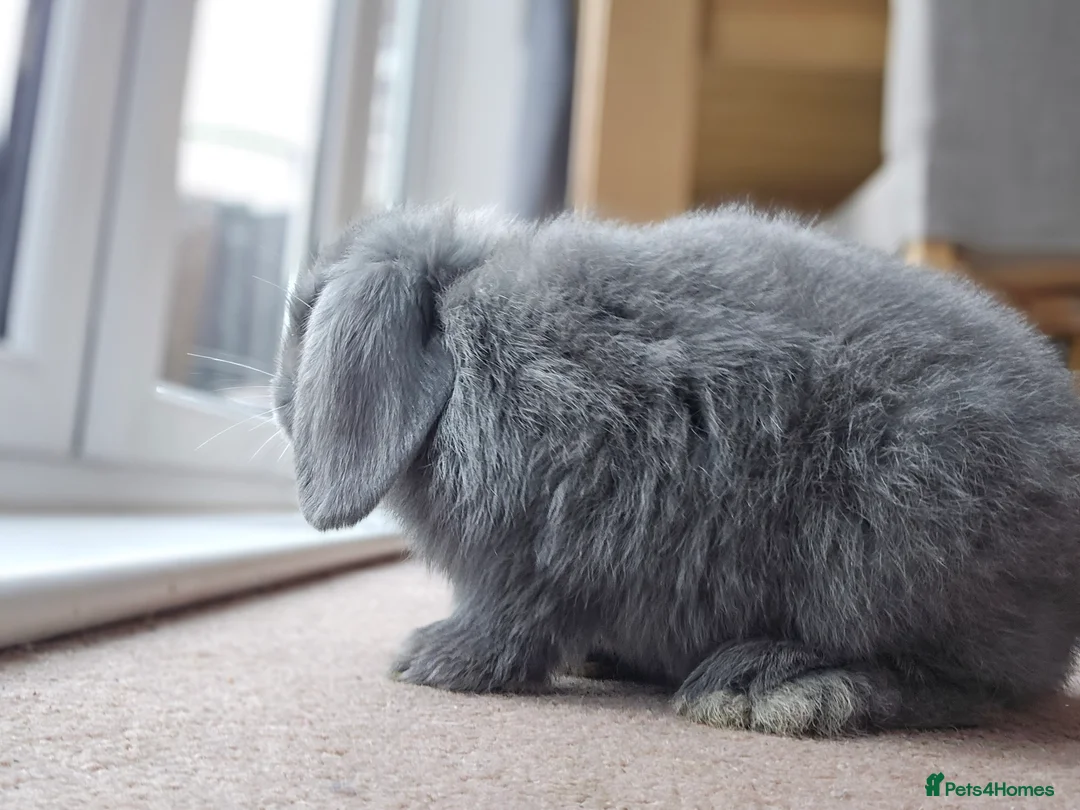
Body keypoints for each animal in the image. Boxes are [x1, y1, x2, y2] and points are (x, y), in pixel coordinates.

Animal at [272, 203, 1080, 737]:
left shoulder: (537, 551)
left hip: (888, 542)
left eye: (304, 316)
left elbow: (509, 620)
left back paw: (770, 690)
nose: (281, 403)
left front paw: (429, 660)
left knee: (957, 686)